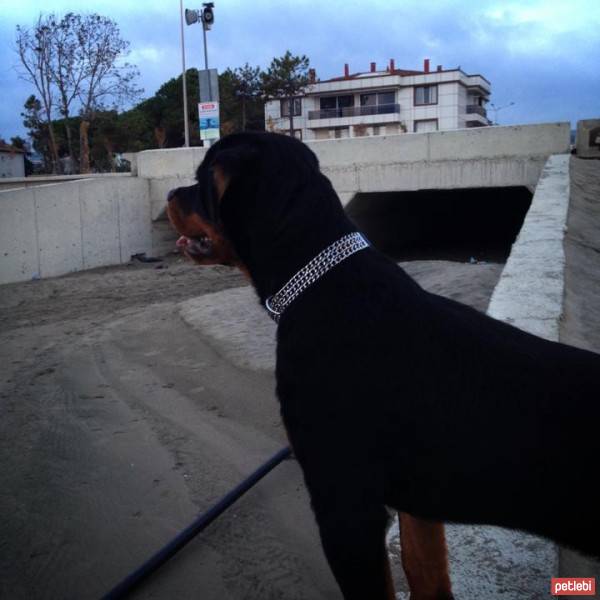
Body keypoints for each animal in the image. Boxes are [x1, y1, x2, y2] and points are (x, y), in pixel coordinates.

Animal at [166, 132, 600, 600]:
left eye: (200, 178)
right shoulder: (418, 506)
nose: (170, 194)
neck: (319, 283)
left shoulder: (345, 506)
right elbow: (425, 572)